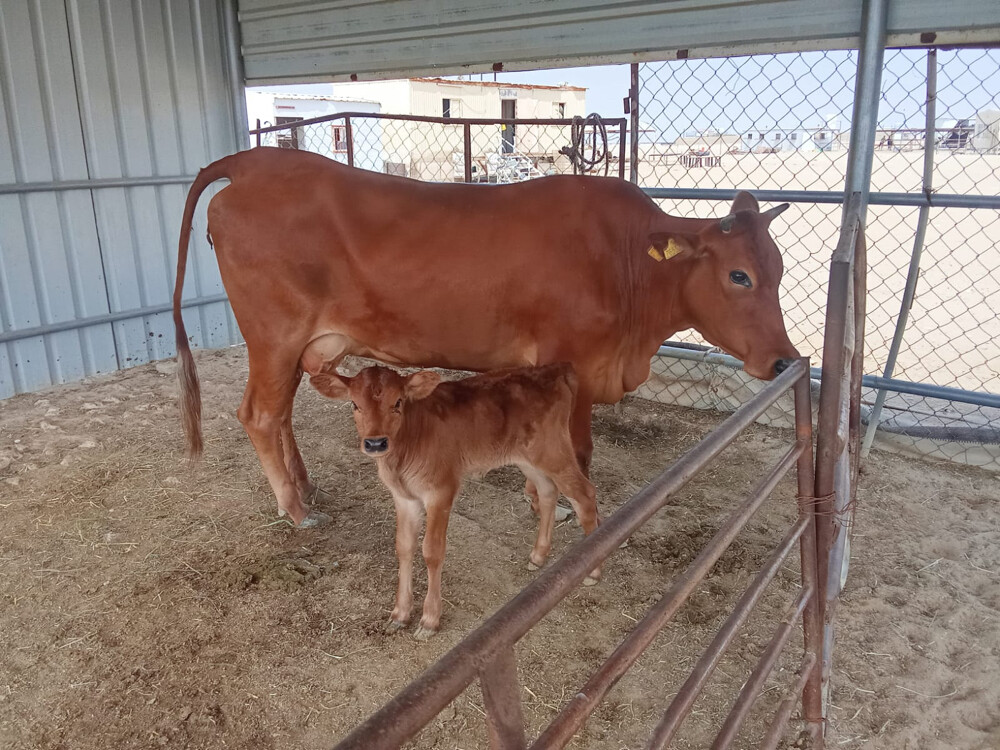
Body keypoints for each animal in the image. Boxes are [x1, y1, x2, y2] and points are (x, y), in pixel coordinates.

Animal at [172, 147, 799, 527]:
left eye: (779, 268)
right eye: (738, 275)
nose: (785, 361)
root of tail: (255, 161)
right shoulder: (569, 362)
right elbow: (578, 449)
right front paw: (560, 507)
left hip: (307, 344)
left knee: (281, 413)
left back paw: (305, 487)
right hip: (274, 336)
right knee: (260, 414)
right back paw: (295, 509)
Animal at [309, 362, 601, 638]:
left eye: (398, 402)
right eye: (354, 404)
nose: (376, 443)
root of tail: (555, 369)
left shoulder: (441, 490)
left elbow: (432, 551)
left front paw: (429, 620)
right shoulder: (404, 497)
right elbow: (403, 546)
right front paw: (400, 614)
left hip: (553, 451)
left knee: (585, 495)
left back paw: (593, 572)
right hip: (527, 458)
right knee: (548, 491)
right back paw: (538, 556)